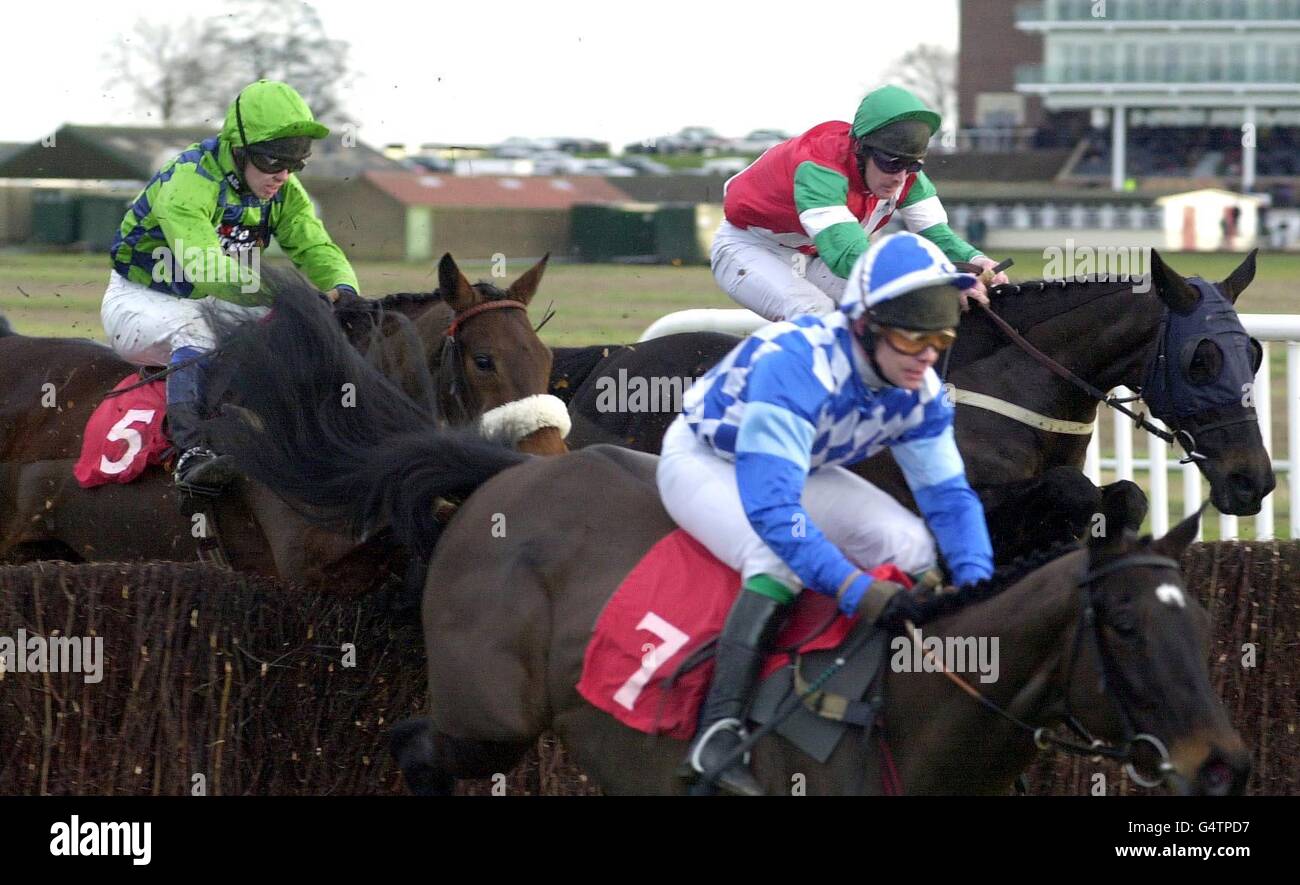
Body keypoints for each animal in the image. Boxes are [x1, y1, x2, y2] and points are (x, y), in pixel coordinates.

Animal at [200, 343, 1248, 795]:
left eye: (1199, 623)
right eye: (1122, 628)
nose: (1224, 764)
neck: (901, 712)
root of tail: (506, 472)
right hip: (487, 716)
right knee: (417, 748)